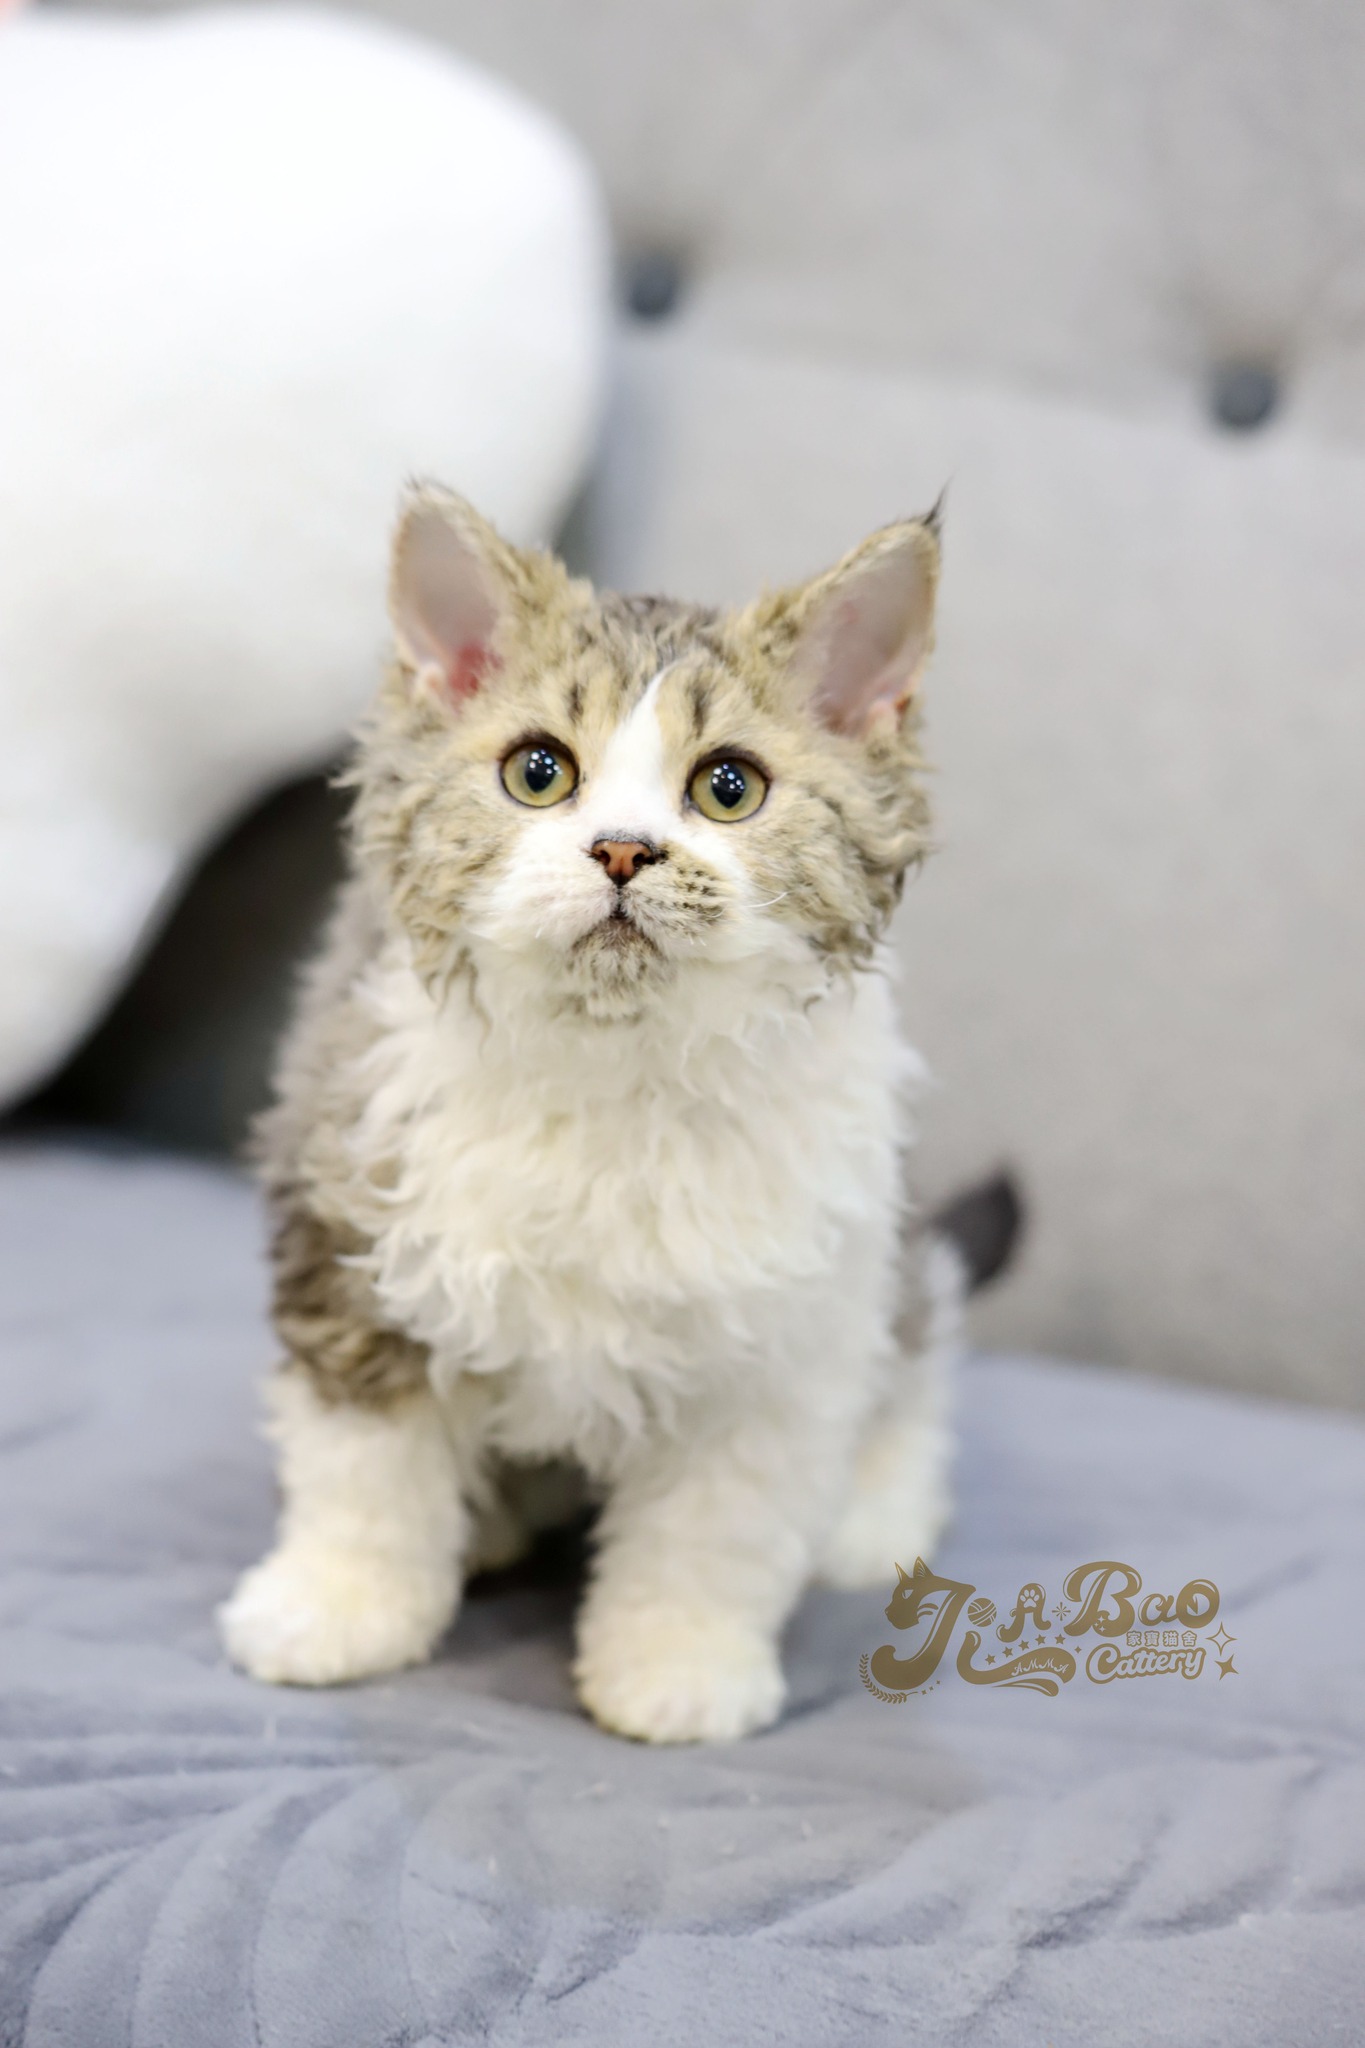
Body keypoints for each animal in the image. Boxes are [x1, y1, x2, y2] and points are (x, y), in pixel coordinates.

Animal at [218, 482, 1008, 1744]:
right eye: (539, 771)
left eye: (729, 787)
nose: (625, 849)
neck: (612, 1070)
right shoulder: (350, 1227)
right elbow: (364, 1471)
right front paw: (336, 1606)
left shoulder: (785, 1332)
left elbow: (715, 1525)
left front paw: (678, 1664)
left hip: (889, 1263)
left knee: (921, 1336)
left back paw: (871, 1514)